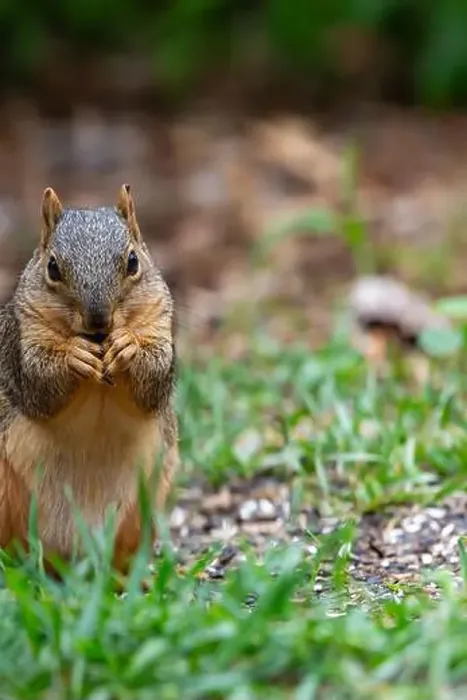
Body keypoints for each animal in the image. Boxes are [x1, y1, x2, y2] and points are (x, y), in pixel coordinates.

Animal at [0, 184, 179, 576]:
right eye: (52, 267)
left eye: (133, 262)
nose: (99, 321)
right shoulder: (20, 344)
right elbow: (39, 385)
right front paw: (73, 356)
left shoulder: (159, 322)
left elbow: (154, 380)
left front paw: (128, 345)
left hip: (143, 507)